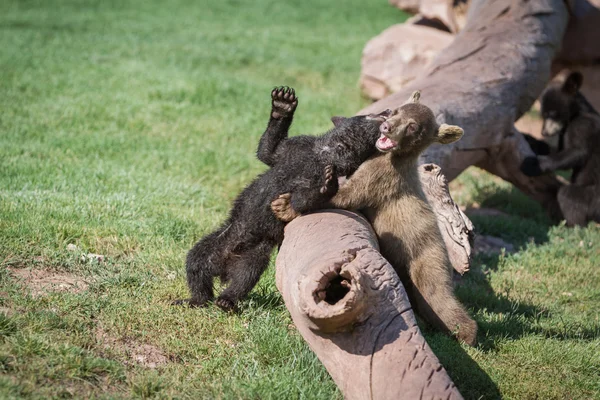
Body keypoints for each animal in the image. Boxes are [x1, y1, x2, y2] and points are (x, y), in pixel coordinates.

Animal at [175, 87, 390, 310]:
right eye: (372, 114)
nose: (388, 110)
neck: (331, 151)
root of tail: (224, 266)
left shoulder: (340, 172)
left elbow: (307, 198)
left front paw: (326, 184)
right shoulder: (298, 146)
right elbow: (269, 151)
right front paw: (282, 102)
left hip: (255, 250)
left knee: (245, 275)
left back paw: (226, 300)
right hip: (220, 238)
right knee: (196, 262)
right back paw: (193, 299)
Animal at [520, 72, 600, 227]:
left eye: (552, 114)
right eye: (543, 115)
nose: (544, 132)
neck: (575, 114)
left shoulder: (583, 127)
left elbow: (576, 152)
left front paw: (531, 165)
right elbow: (556, 149)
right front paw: (529, 139)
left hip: (595, 198)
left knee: (568, 196)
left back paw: (571, 226)